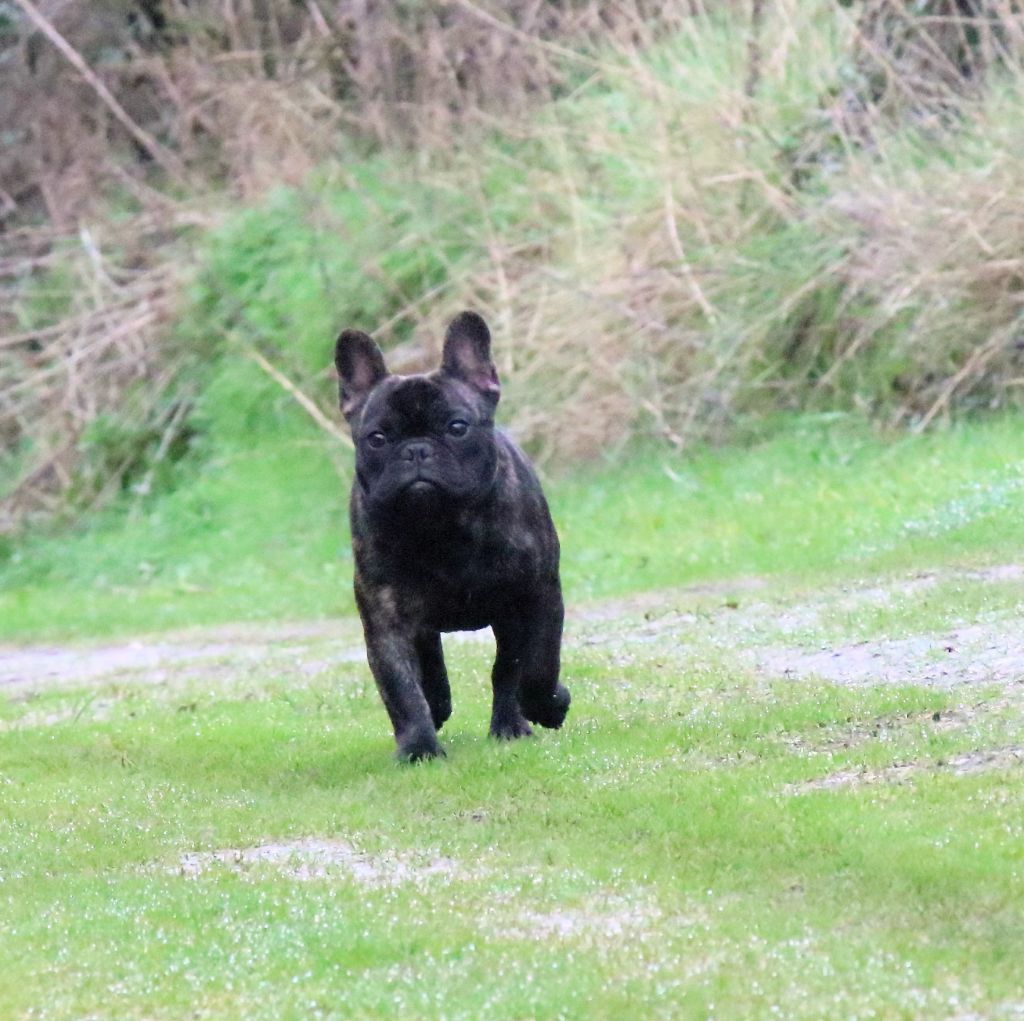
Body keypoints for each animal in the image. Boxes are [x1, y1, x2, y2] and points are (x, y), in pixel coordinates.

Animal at [334, 311, 571, 761]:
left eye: (457, 427)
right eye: (377, 438)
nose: (416, 450)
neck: (441, 525)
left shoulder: (536, 597)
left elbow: (536, 664)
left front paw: (548, 706)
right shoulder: (385, 619)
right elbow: (401, 688)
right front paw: (418, 749)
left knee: (509, 668)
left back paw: (511, 725)